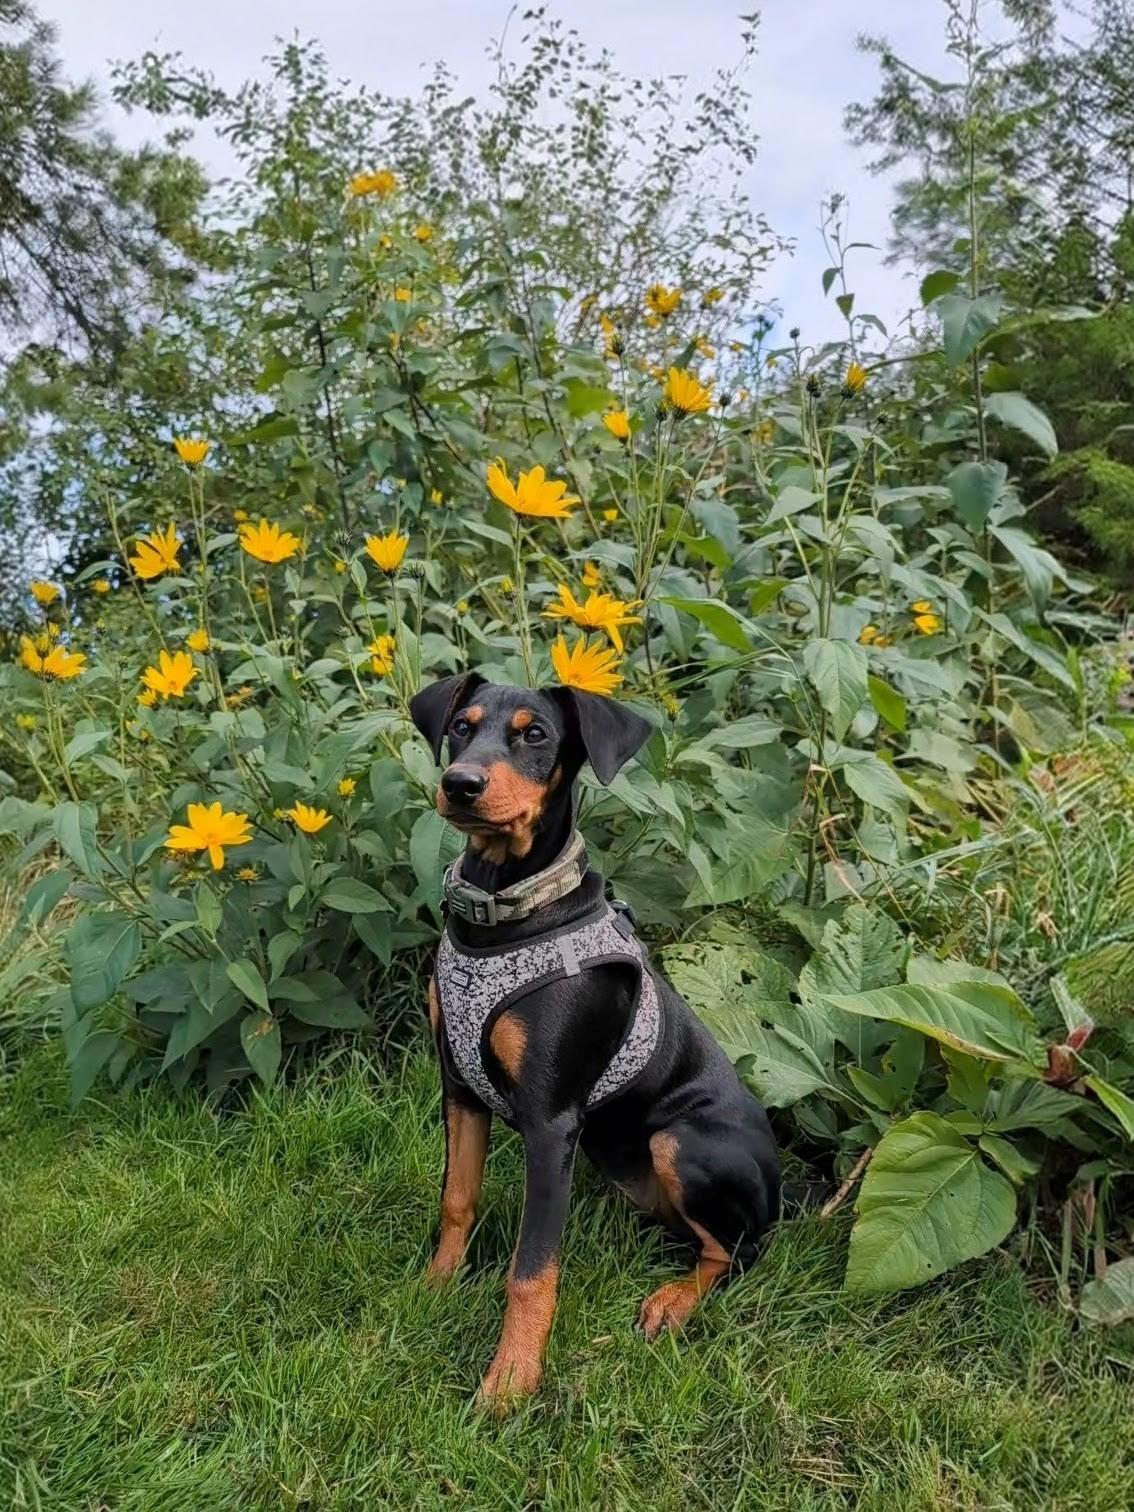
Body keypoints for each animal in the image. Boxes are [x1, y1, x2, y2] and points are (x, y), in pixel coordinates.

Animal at [414, 674, 786, 1403]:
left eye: (535, 735)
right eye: (462, 726)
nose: (460, 784)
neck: (505, 912)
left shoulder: (551, 1121)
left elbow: (532, 1269)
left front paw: (510, 1383)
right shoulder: (458, 1087)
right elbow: (456, 1199)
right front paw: (436, 1288)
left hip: (682, 1140)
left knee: (738, 1251)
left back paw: (671, 1302)